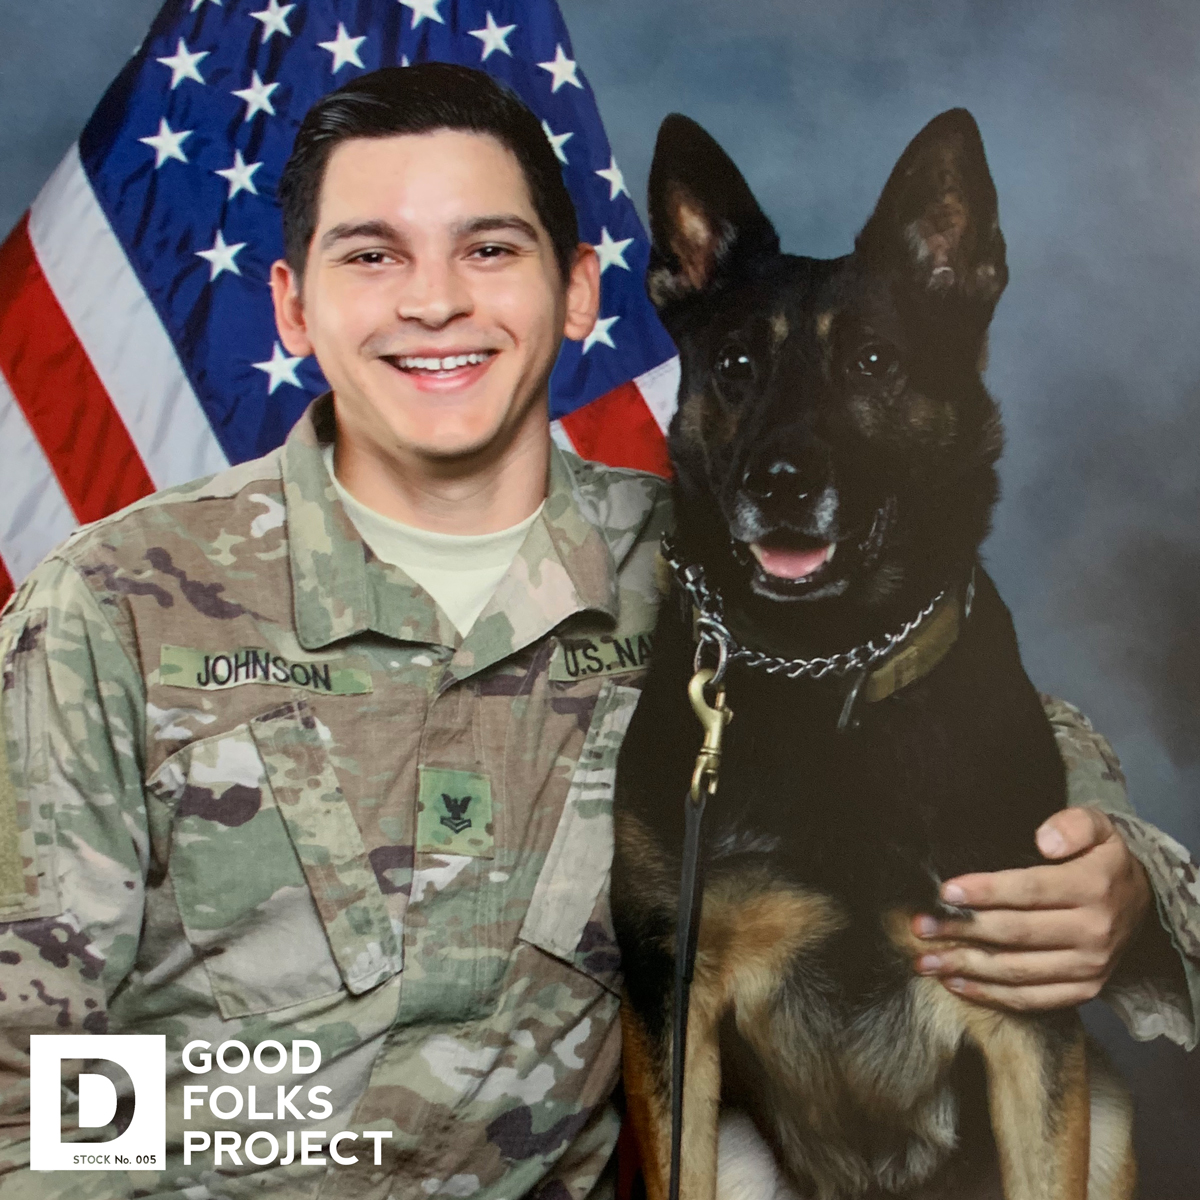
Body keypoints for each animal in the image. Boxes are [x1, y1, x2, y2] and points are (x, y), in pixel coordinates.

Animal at [609, 112, 1132, 1200]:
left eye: (876, 363)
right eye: (736, 367)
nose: (781, 483)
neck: (831, 672)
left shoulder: (1025, 1016)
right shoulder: (672, 997)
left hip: (1106, 1110)